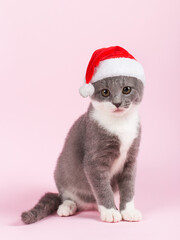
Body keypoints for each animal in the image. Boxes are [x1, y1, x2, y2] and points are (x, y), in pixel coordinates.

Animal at [20, 75, 143, 225]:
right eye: (105, 92)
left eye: (126, 89)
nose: (117, 103)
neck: (119, 123)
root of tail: (89, 204)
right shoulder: (94, 158)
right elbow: (102, 187)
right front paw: (110, 211)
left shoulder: (131, 159)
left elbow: (128, 186)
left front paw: (128, 211)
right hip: (61, 175)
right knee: (65, 197)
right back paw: (67, 207)